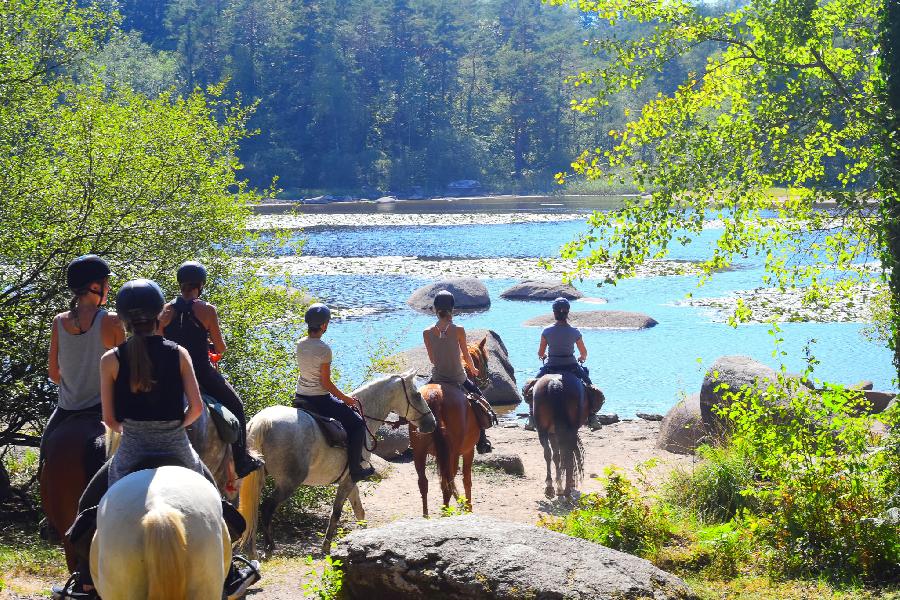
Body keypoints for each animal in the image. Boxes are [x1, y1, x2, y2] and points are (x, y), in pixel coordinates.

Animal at [239, 370, 436, 556]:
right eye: (417, 395)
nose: (431, 424)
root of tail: (263, 421)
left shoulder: (350, 478)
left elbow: (359, 510)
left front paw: (365, 539)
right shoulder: (349, 479)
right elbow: (336, 512)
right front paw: (326, 547)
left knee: (249, 509)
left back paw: (251, 550)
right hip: (289, 482)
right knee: (266, 508)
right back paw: (268, 548)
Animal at [412, 338, 488, 516]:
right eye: (485, 360)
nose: (487, 380)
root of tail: (434, 395)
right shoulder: (468, 451)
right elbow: (467, 480)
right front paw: (468, 508)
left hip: (419, 451)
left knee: (424, 483)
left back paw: (426, 517)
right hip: (451, 454)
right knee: (448, 482)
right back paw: (446, 513)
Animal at [536, 372, 604, 500]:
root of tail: (555, 383)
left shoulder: (552, 433)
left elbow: (556, 456)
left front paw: (558, 486)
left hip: (543, 430)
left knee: (548, 453)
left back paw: (551, 487)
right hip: (569, 430)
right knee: (567, 454)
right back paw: (566, 489)